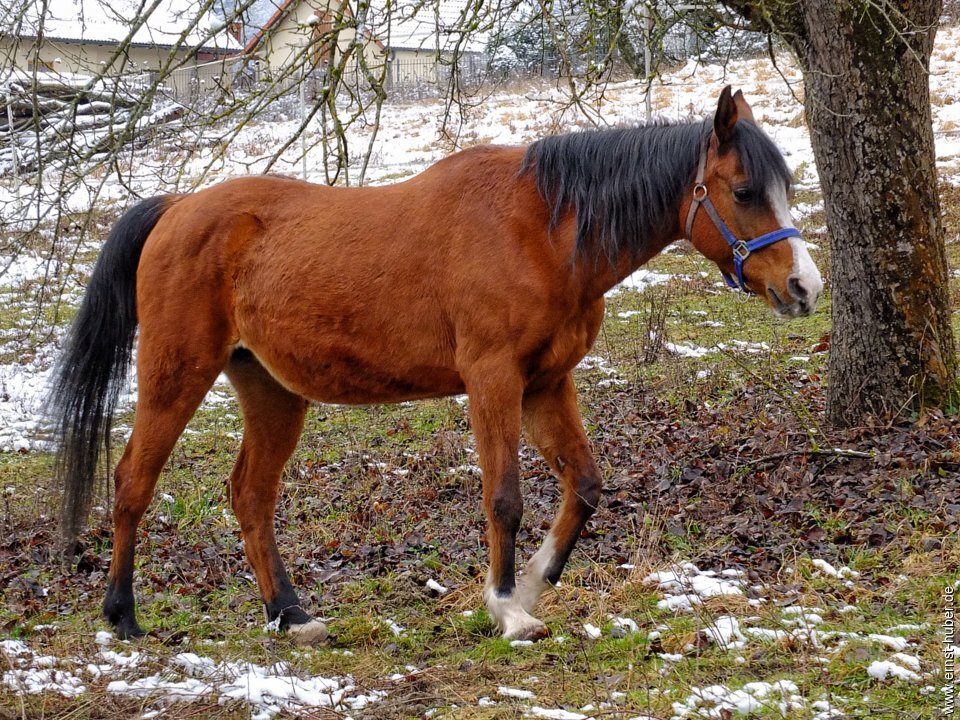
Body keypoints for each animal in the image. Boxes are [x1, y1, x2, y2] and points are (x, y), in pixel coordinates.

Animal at [48, 84, 820, 640]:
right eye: (744, 191)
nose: (804, 287)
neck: (541, 229)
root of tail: (178, 208)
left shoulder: (547, 384)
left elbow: (586, 486)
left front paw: (532, 583)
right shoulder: (493, 380)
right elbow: (504, 497)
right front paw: (506, 607)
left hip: (271, 390)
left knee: (250, 496)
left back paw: (291, 616)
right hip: (176, 374)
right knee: (132, 483)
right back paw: (121, 615)